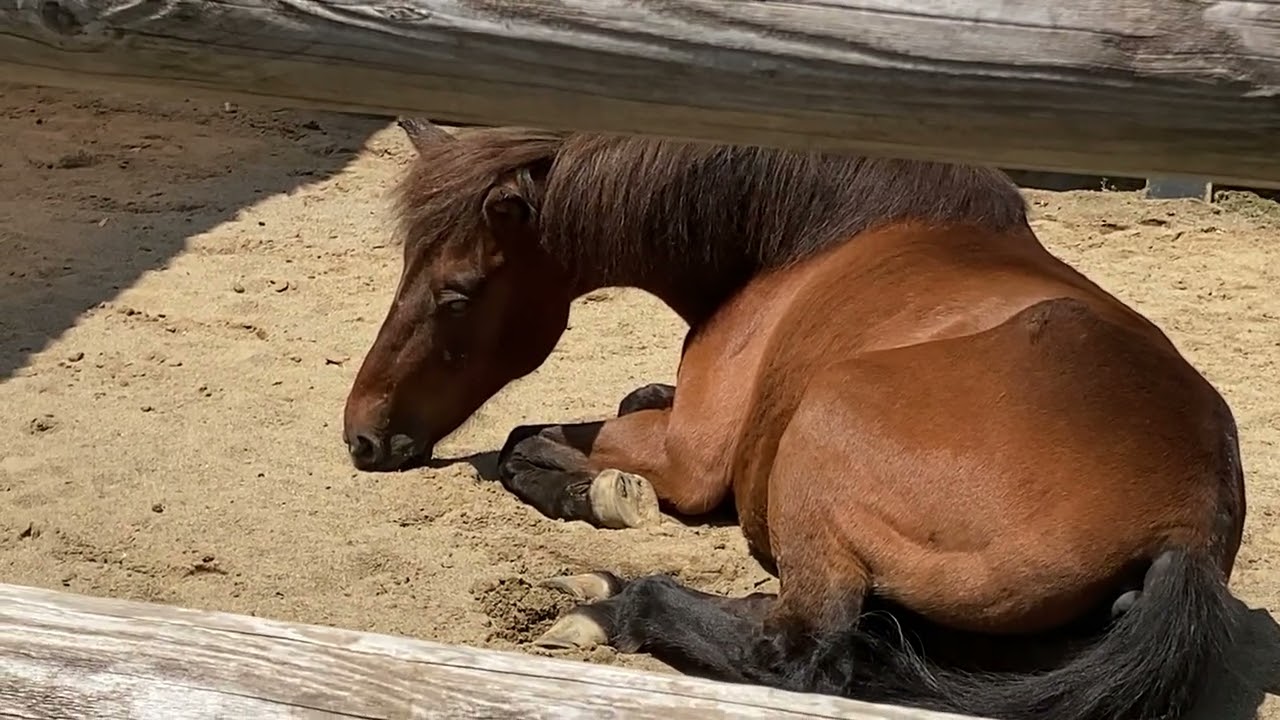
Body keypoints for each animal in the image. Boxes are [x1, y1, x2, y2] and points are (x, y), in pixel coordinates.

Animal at [342, 118, 1246, 720]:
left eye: (456, 294)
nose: (362, 435)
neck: (799, 238)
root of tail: (1188, 527)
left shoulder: (690, 457)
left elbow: (520, 443)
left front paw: (597, 494)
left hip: (824, 431)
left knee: (799, 653)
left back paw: (613, 603)